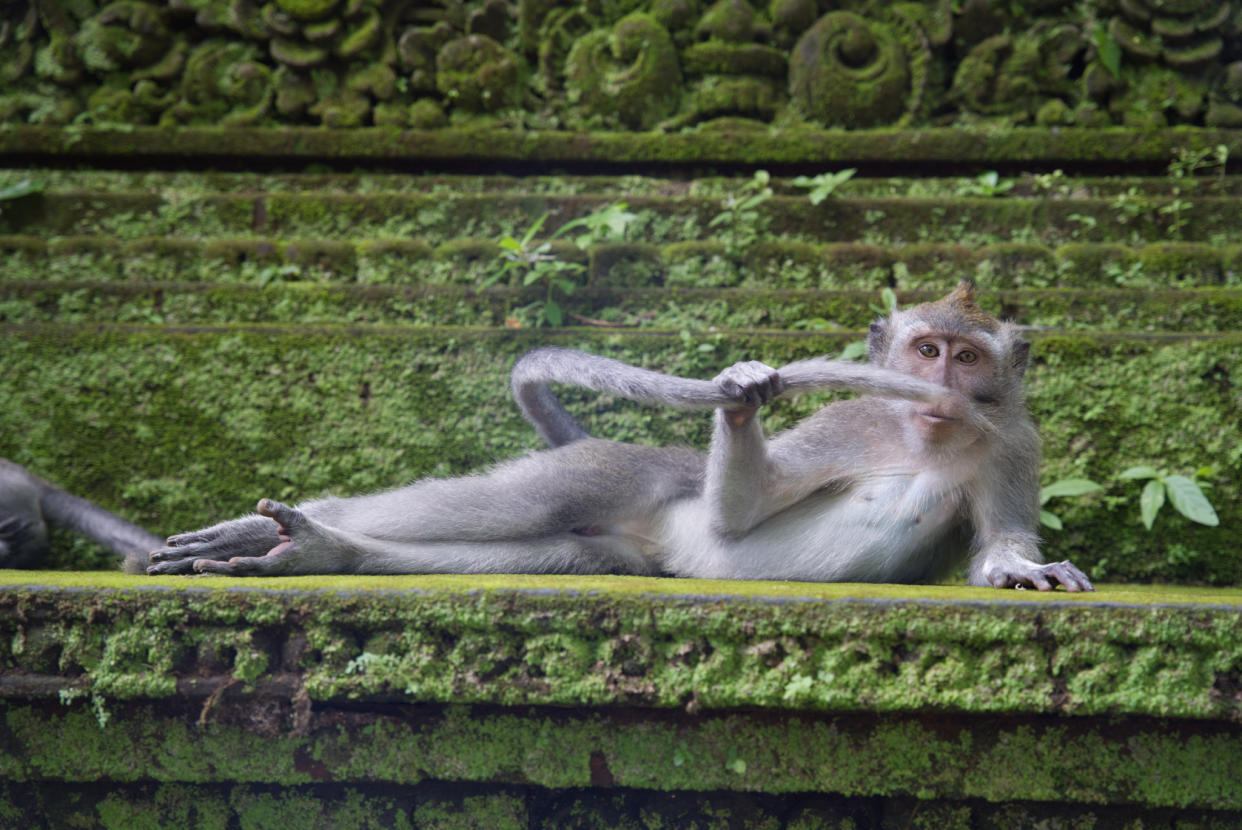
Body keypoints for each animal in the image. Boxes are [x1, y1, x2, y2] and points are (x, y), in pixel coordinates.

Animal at [131, 282, 1092, 593]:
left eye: (967, 355)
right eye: (926, 350)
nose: (944, 389)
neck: (924, 439)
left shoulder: (1015, 442)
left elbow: (1001, 536)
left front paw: (1023, 569)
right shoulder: (848, 423)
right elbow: (745, 514)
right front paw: (744, 394)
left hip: (624, 553)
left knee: (554, 549)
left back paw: (324, 552)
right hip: (621, 470)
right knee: (525, 501)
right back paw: (287, 529)